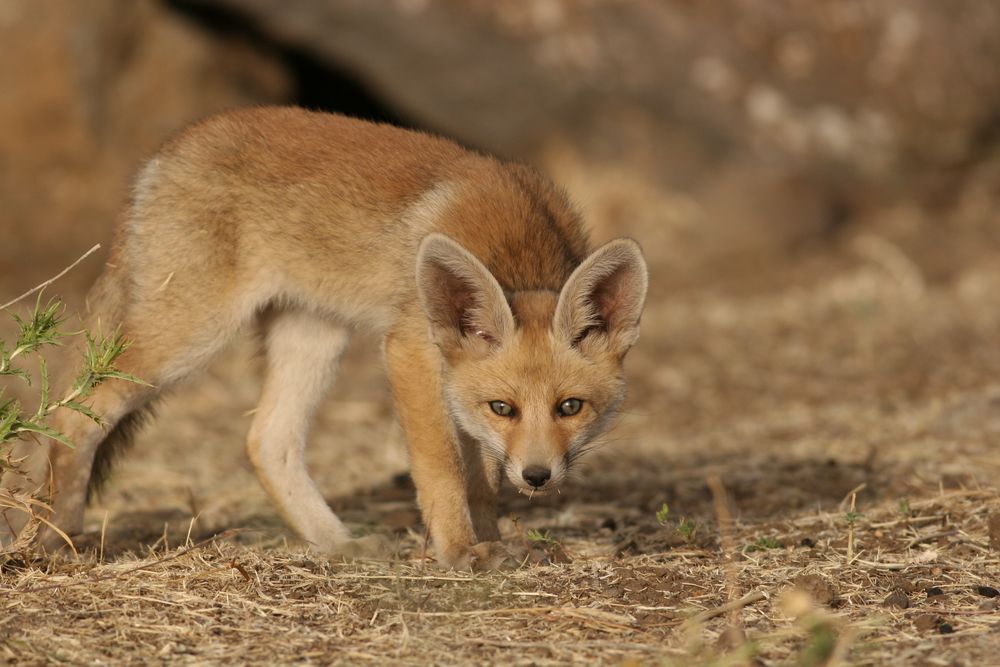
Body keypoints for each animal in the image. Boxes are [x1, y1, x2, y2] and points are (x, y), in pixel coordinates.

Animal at [5, 107, 647, 569]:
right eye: (505, 408)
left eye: (570, 407)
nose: (538, 477)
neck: (516, 248)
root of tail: (162, 156)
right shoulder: (412, 352)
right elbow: (444, 468)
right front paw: (460, 551)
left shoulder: (454, 383)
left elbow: (483, 478)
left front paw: (493, 540)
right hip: (186, 340)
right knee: (73, 414)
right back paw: (57, 540)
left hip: (312, 338)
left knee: (266, 441)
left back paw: (335, 541)